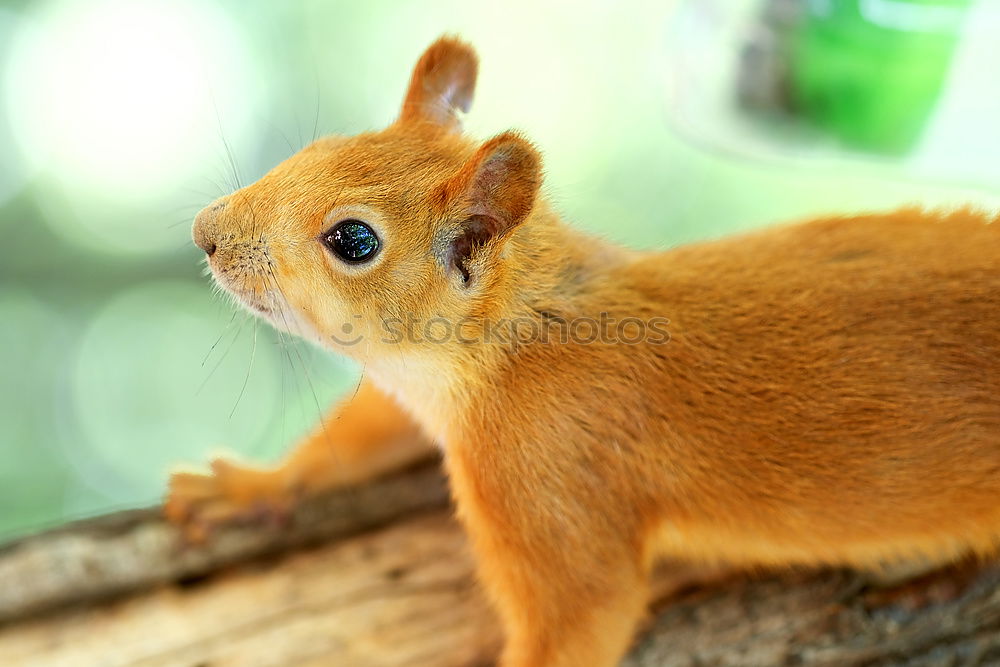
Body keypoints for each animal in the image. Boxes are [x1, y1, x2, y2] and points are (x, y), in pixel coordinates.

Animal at [168, 35, 1000, 667]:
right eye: (324, 144)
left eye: (353, 240)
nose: (204, 231)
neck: (517, 338)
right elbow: (365, 431)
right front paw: (252, 483)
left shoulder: (545, 476)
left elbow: (581, 615)